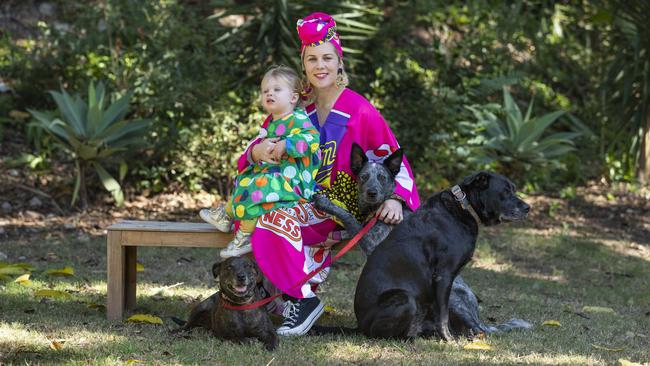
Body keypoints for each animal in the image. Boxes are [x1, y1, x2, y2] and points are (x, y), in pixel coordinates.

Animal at [352, 172, 528, 340]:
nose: (528, 208)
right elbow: (443, 315)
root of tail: (359, 326)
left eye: (514, 190)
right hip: (405, 299)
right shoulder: (444, 275)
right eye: (505, 192)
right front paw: (449, 340)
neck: (464, 207)